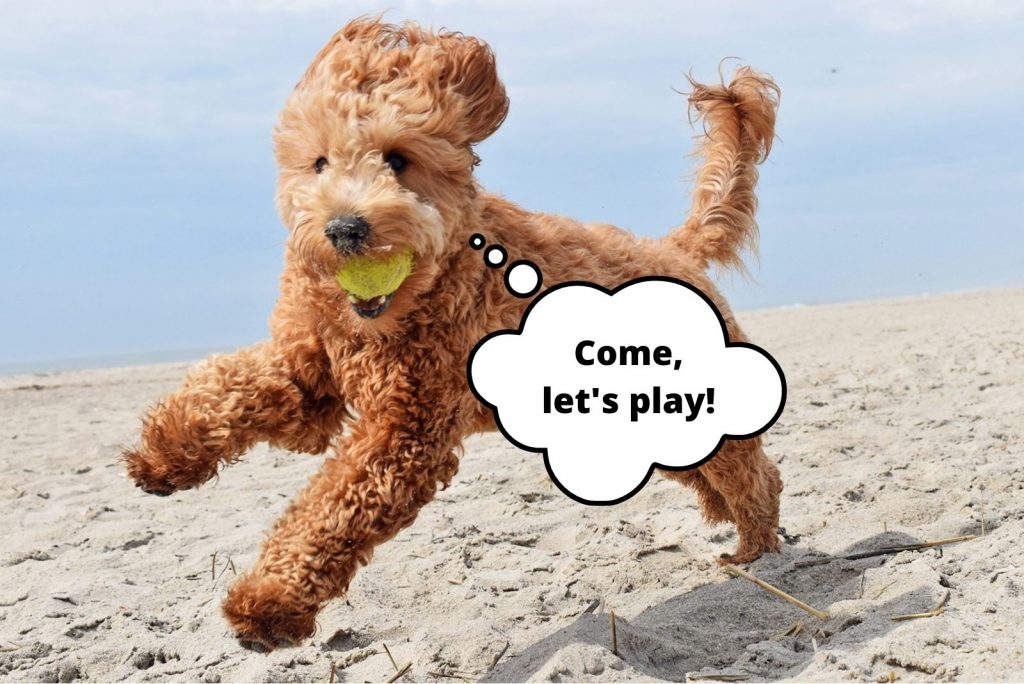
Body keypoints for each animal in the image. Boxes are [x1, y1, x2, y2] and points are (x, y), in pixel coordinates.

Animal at [121, 17, 782, 651]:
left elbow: (330, 512)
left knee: (754, 472)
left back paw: (755, 546)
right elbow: (227, 388)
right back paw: (727, 519)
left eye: (397, 158)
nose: (344, 229)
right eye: (319, 162)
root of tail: (672, 248)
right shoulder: (309, 375)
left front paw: (267, 603)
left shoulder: (407, 432)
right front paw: (164, 454)